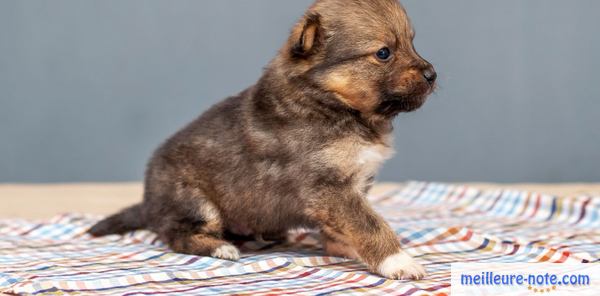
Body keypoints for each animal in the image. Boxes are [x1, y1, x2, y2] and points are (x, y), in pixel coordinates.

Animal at [88, 0, 436, 280]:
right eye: (384, 53)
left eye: (411, 42)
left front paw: (345, 248)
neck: (331, 103)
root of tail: (147, 202)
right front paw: (398, 261)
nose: (432, 74)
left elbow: (345, 228)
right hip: (195, 201)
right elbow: (370, 225)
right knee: (176, 235)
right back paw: (221, 247)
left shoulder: (350, 186)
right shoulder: (330, 187)